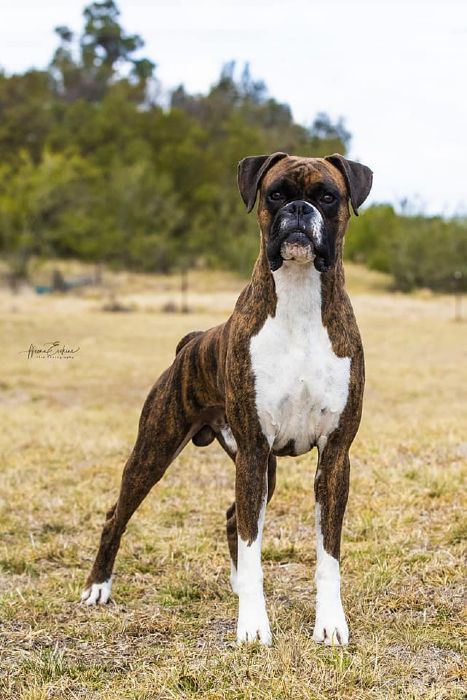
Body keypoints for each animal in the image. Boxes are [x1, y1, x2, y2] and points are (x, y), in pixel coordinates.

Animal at [81, 152, 373, 646]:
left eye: (328, 197)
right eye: (275, 193)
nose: (297, 209)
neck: (299, 301)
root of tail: (192, 341)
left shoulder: (334, 455)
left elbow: (327, 554)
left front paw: (330, 623)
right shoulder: (254, 448)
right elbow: (254, 546)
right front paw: (253, 625)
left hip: (262, 468)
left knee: (234, 516)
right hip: (156, 451)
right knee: (115, 516)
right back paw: (98, 587)